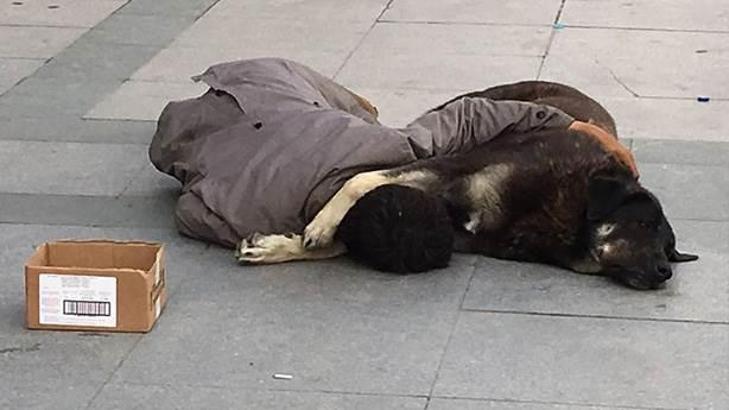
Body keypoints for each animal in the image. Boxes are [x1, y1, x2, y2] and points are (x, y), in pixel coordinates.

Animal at [236, 81, 696, 290]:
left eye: (669, 249)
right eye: (645, 225)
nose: (664, 272)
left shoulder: (455, 231)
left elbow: (346, 240)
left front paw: (281, 246)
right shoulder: (448, 167)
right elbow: (359, 181)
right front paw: (311, 230)